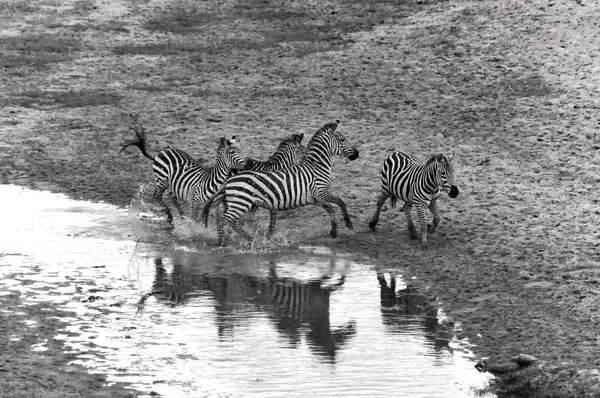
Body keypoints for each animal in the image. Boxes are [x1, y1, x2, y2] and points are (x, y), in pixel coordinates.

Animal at [202, 120, 360, 246]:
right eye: (342, 139)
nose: (357, 154)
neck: (316, 167)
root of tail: (229, 180)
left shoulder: (313, 198)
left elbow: (331, 208)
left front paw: (334, 230)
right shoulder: (320, 192)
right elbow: (340, 202)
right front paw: (349, 223)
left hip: (240, 203)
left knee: (232, 221)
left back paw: (249, 239)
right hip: (241, 203)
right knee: (224, 219)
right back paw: (223, 242)